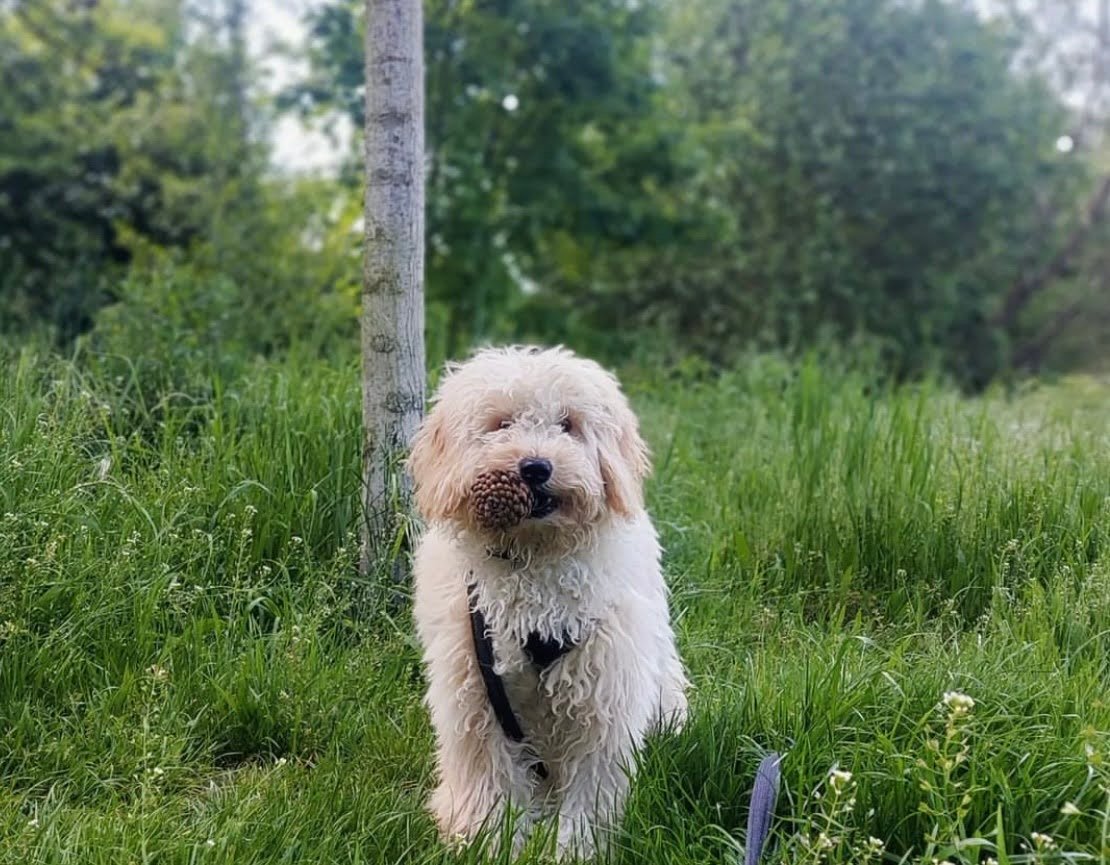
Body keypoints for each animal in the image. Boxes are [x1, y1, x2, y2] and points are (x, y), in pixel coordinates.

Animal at [408, 344, 683, 857]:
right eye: (500, 423)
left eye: (568, 424)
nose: (535, 467)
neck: (533, 562)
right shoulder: (476, 696)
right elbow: (488, 781)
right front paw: (488, 843)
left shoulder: (604, 698)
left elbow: (591, 791)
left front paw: (579, 851)